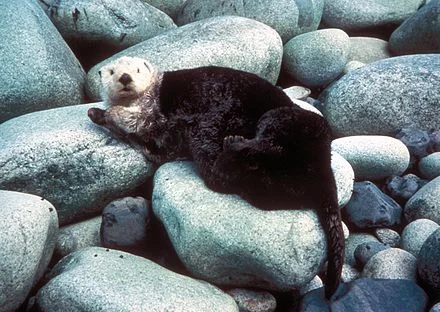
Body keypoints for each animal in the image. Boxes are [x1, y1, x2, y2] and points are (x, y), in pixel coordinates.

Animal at [88, 56, 344, 300]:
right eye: (112, 71)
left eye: (138, 70)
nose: (125, 77)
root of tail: (323, 169)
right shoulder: (157, 141)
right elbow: (146, 140)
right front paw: (96, 113)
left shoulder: (152, 110)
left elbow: (137, 120)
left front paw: (107, 113)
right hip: (270, 185)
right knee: (231, 177)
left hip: (284, 118)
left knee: (260, 145)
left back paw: (234, 144)